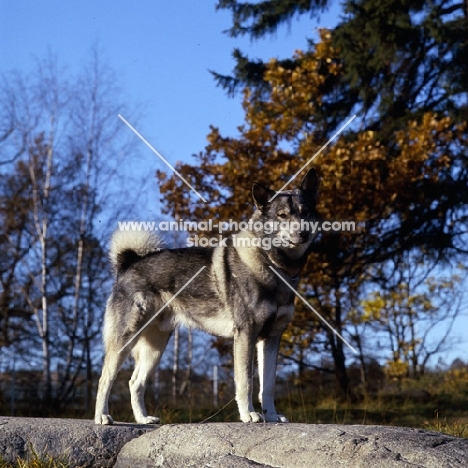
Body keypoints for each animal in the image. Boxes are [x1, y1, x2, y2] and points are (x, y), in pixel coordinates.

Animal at [95, 167, 322, 424]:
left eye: (305, 212)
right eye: (282, 215)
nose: (303, 233)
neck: (272, 265)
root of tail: (129, 262)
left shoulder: (272, 337)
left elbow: (269, 385)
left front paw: (271, 415)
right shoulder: (246, 334)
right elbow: (246, 381)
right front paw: (249, 414)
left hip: (156, 346)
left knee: (135, 382)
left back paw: (143, 419)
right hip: (125, 339)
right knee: (105, 379)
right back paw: (102, 417)